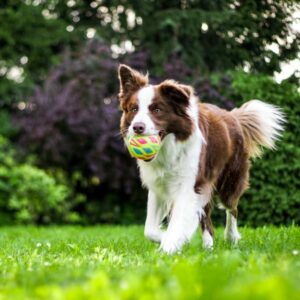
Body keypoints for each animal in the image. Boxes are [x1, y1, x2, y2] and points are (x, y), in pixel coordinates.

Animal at [116, 64, 284, 254]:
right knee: (207, 219)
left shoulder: (190, 185)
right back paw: (208, 247)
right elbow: (149, 230)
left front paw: (169, 247)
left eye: (157, 110)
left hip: (230, 179)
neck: (169, 148)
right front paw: (171, 239)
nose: (137, 127)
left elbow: (178, 221)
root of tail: (233, 116)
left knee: (232, 208)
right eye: (133, 109)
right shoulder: (159, 186)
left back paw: (231, 237)